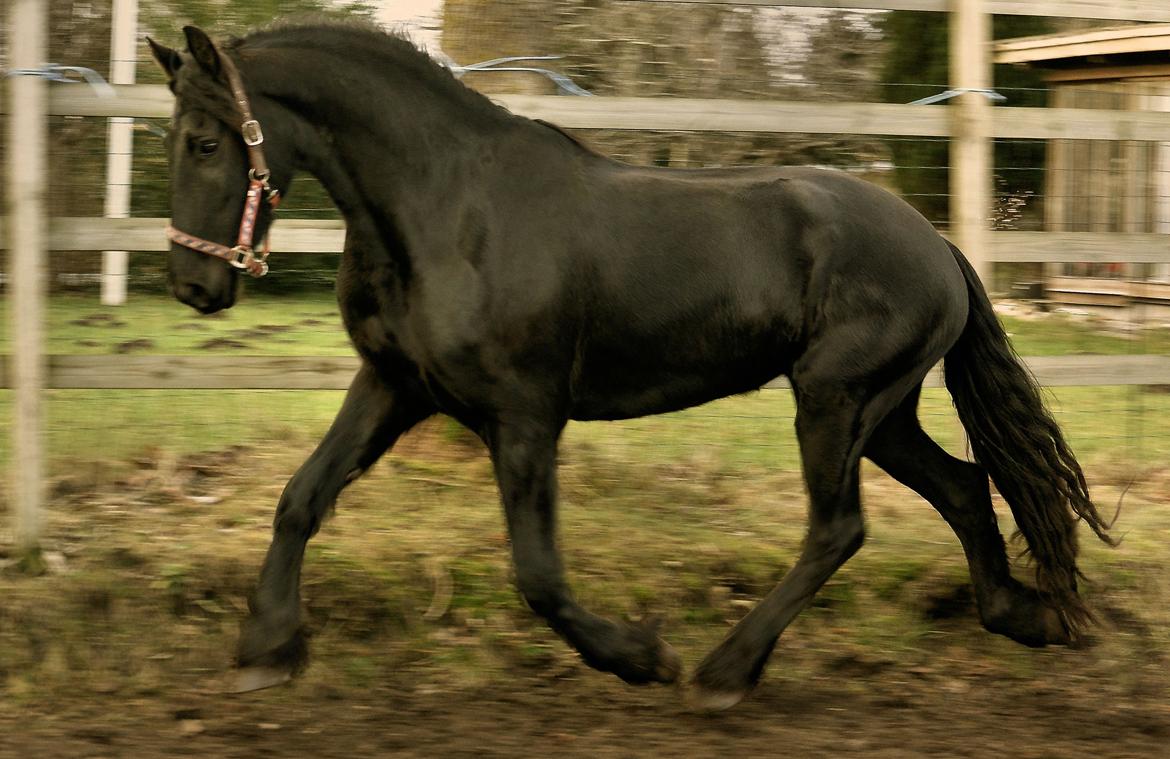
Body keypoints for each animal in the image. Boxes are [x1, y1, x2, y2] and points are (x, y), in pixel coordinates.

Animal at [148, 22, 1113, 711]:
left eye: (205, 142)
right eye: (174, 138)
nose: (193, 284)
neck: (445, 208)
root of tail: (939, 245)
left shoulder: (525, 414)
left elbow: (538, 574)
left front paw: (643, 658)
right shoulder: (395, 385)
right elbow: (301, 498)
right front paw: (267, 650)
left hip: (833, 400)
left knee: (840, 529)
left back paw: (725, 670)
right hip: (884, 412)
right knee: (962, 487)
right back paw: (1026, 616)